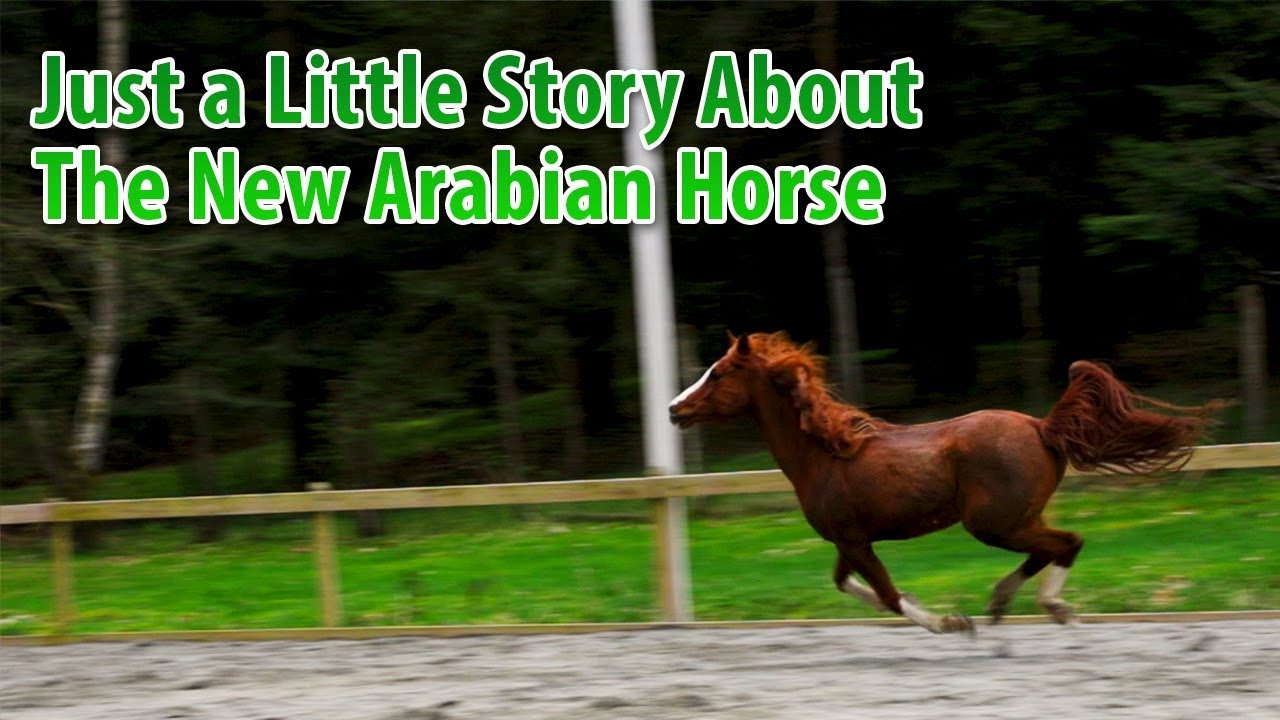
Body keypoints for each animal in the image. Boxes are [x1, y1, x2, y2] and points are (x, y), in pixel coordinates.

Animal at [668, 331, 1220, 634]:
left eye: (717, 373)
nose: (674, 409)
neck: (823, 453)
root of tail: (1043, 427)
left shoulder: (853, 539)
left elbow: (888, 595)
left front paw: (952, 623)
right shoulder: (850, 540)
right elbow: (852, 585)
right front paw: (942, 610)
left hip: (993, 523)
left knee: (1067, 542)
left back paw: (1050, 607)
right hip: (1016, 518)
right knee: (1051, 547)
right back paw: (1003, 602)